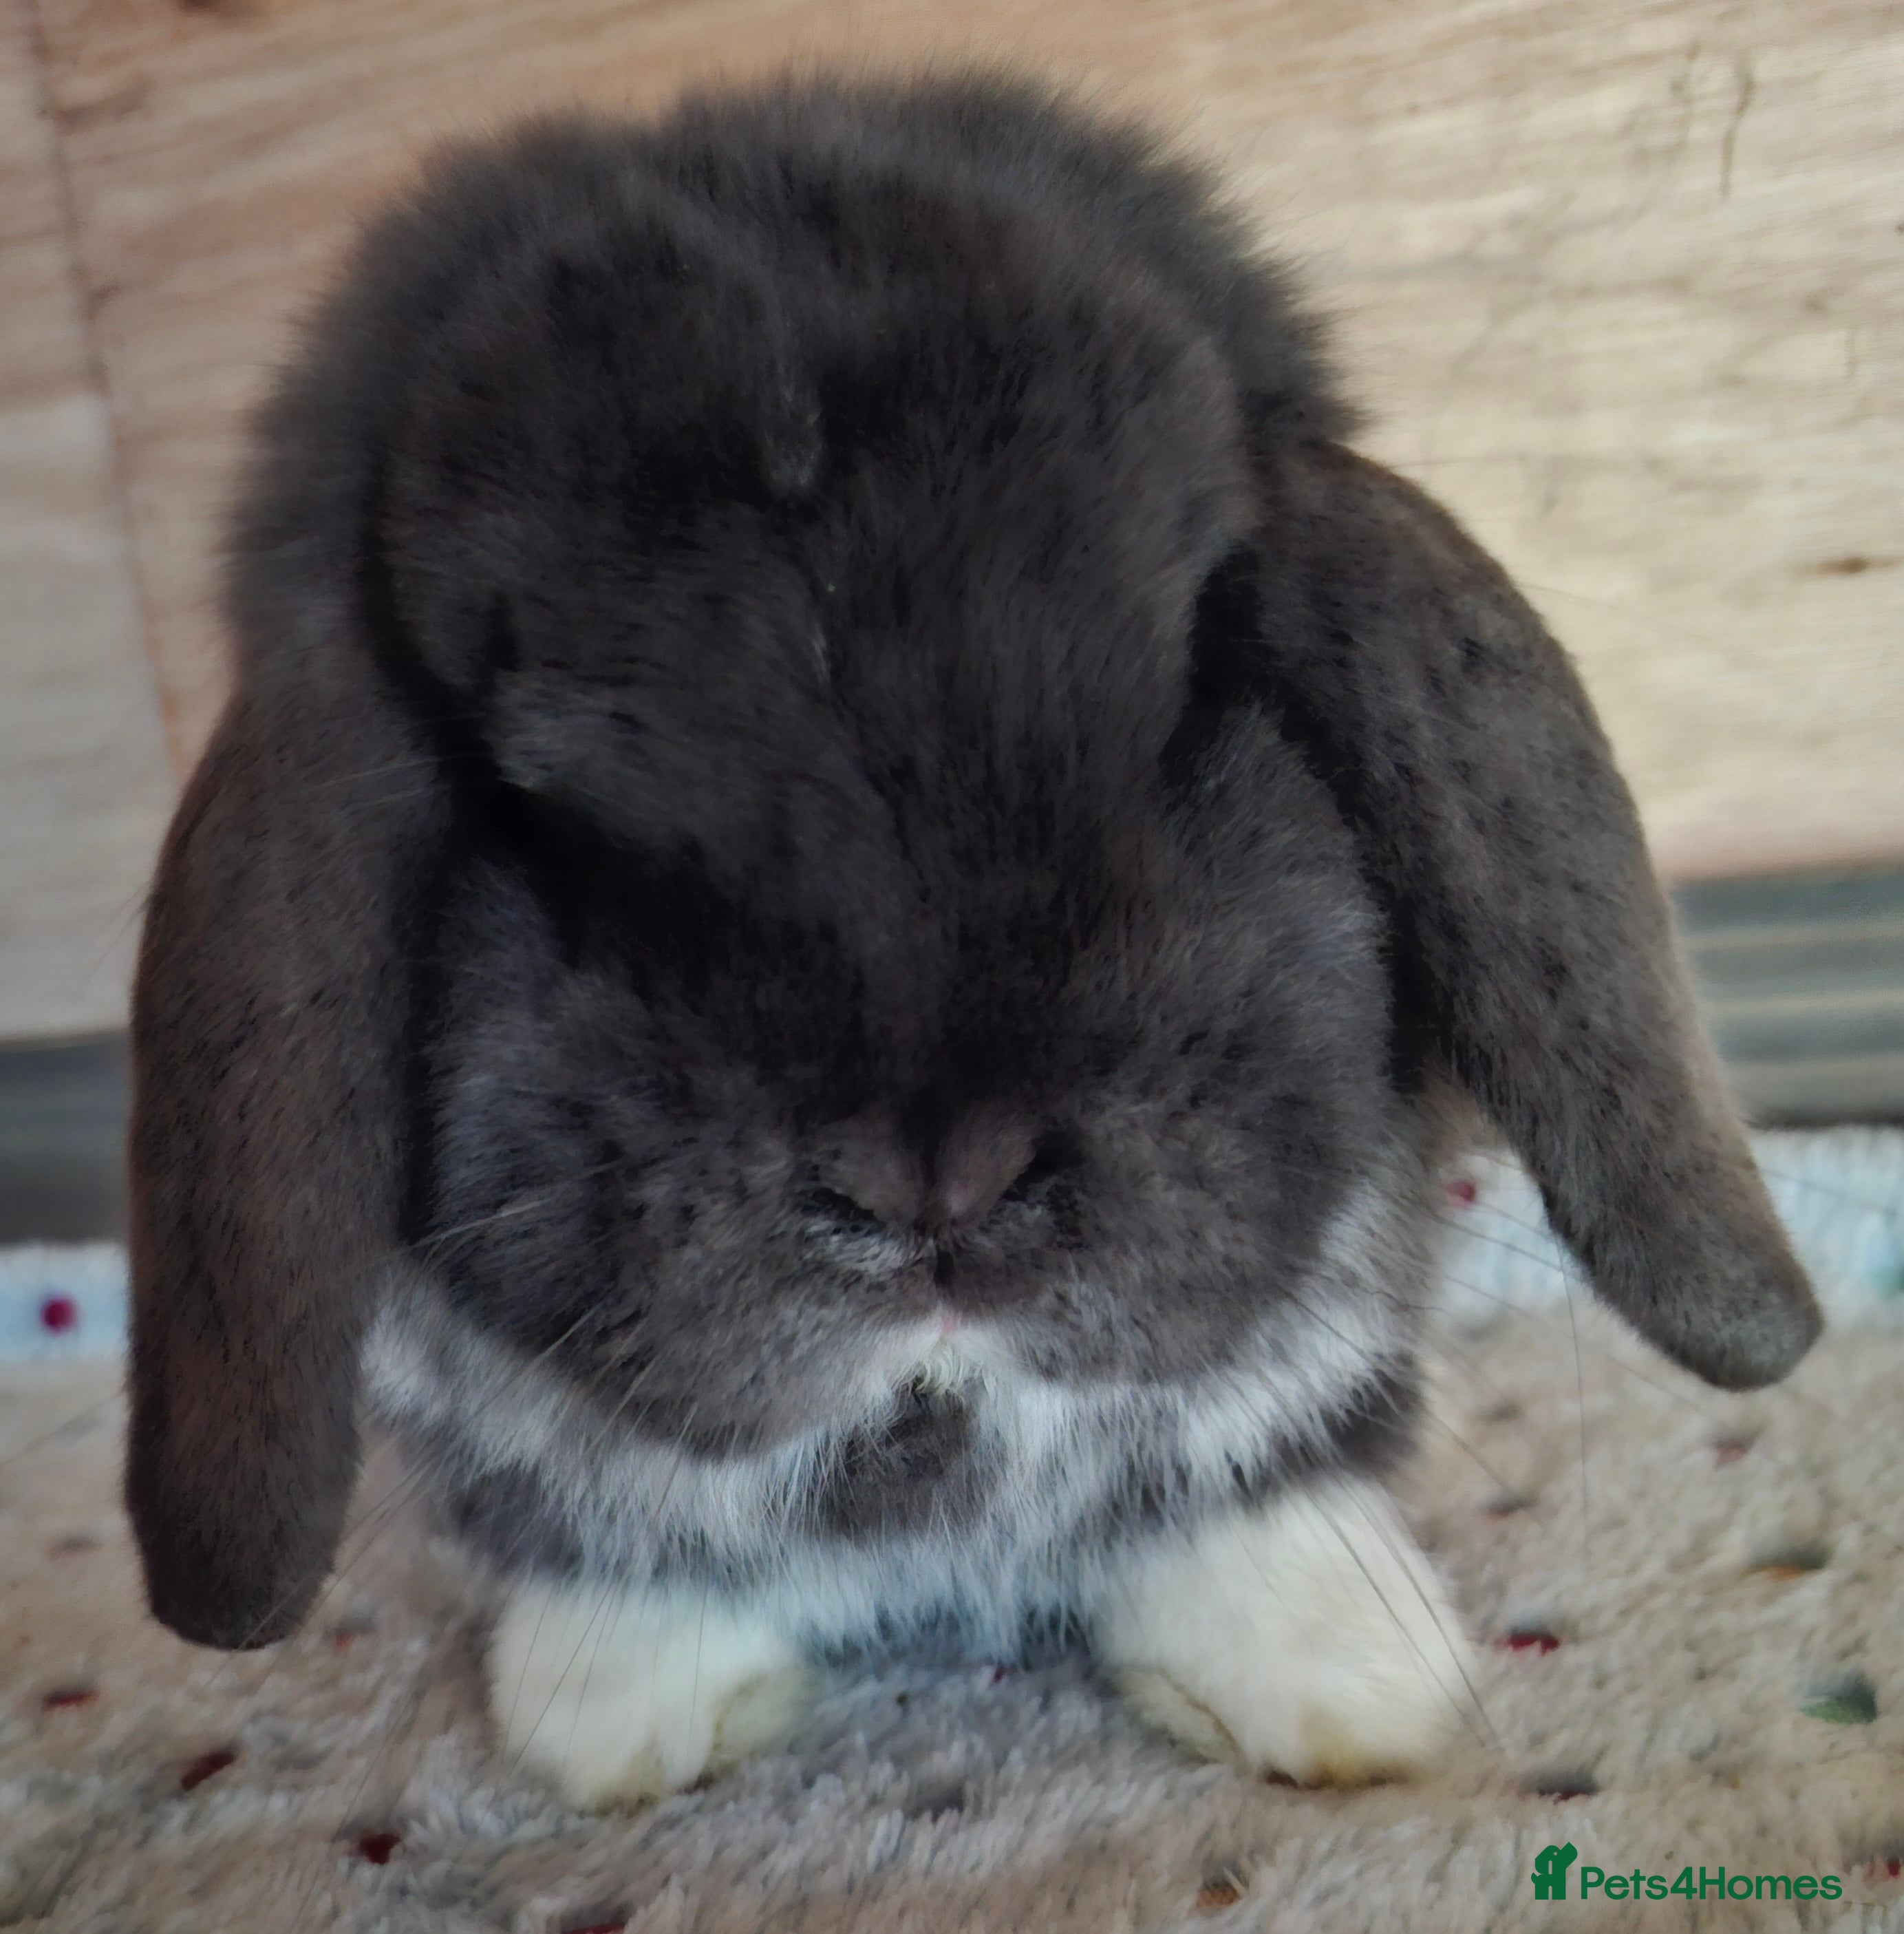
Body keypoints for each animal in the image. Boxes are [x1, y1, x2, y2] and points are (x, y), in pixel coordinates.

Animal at [124, 70, 1822, 1811]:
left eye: (1185, 705)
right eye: (530, 806)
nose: (932, 1179)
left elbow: (1255, 1469)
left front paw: (1336, 1680)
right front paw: (630, 1717)